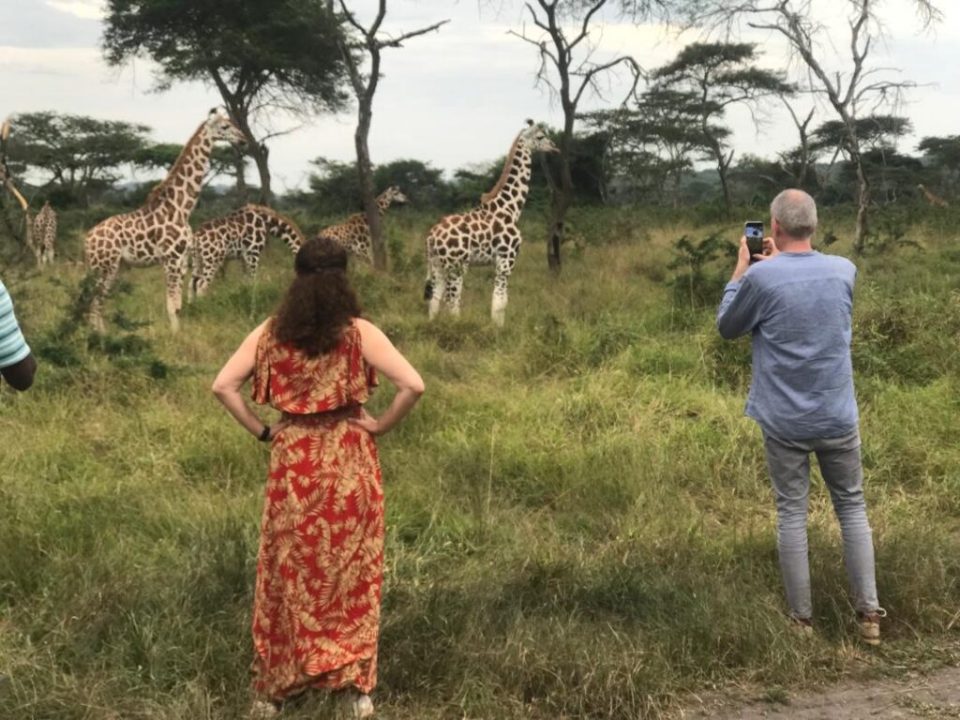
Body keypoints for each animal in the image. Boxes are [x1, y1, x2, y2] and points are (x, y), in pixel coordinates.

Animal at [84, 109, 246, 332]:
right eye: (225, 126)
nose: (243, 140)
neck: (181, 208)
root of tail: (87, 239)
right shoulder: (171, 259)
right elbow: (171, 305)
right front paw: (175, 335)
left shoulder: (182, 261)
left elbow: (178, 305)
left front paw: (180, 333)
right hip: (105, 267)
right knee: (94, 303)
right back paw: (98, 337)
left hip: (116, 267)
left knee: (99, 302)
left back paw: (102, 334)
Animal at [424, 121, 558, 326]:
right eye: (541, 136)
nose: (554, 147)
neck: (510, 208)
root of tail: (432, 236)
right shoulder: (507, 259)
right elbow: (500, 301)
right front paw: (498, 329)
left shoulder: (499, 261)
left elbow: (499, 300)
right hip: (457, 266)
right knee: (452, 301)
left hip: (438, 264)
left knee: (435, 300)